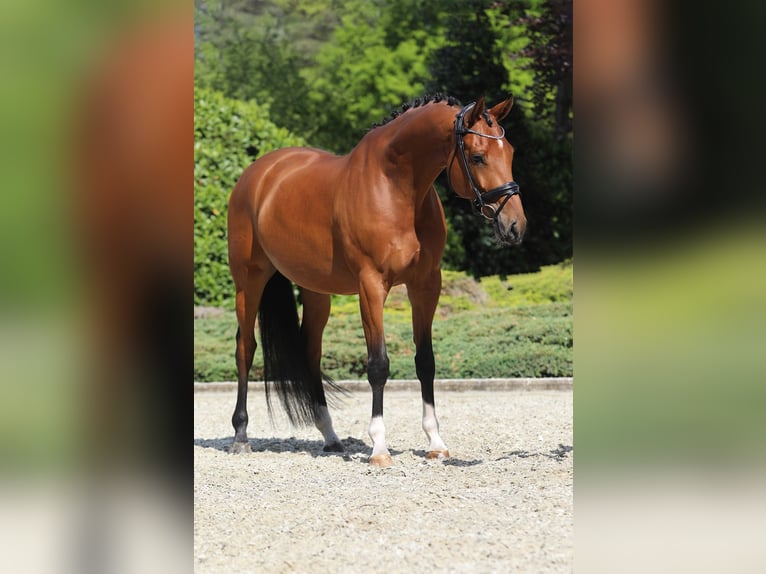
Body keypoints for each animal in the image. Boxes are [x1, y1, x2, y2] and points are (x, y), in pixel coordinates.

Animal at [226, 94, 526, 467]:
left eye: (510, 152)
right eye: (478, 156)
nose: (515, 226)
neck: (395, 186)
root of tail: (257, 174)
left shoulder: (426, 285)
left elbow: (425, 362)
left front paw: (435, 442)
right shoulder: (371, 286)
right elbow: (378, 365)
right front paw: (379, 448)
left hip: (315, 290)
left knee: (311, 352)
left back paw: (330, 436)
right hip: (249, 281)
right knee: (245, 348)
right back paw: (240, 436)